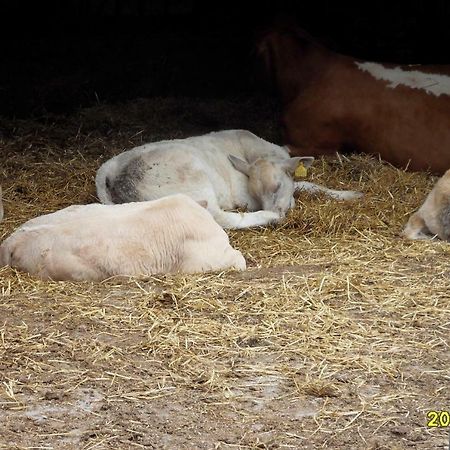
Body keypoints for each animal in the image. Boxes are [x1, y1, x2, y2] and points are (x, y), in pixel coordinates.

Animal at [95, 129, 362, 229]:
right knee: (220, 218)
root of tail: (110, 173)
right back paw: (267, 217)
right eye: (255, 193)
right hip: (196, 183)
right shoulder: (245, 198)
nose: (279, 213)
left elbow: (308, 184)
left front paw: (351, 194)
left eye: (277, 186)